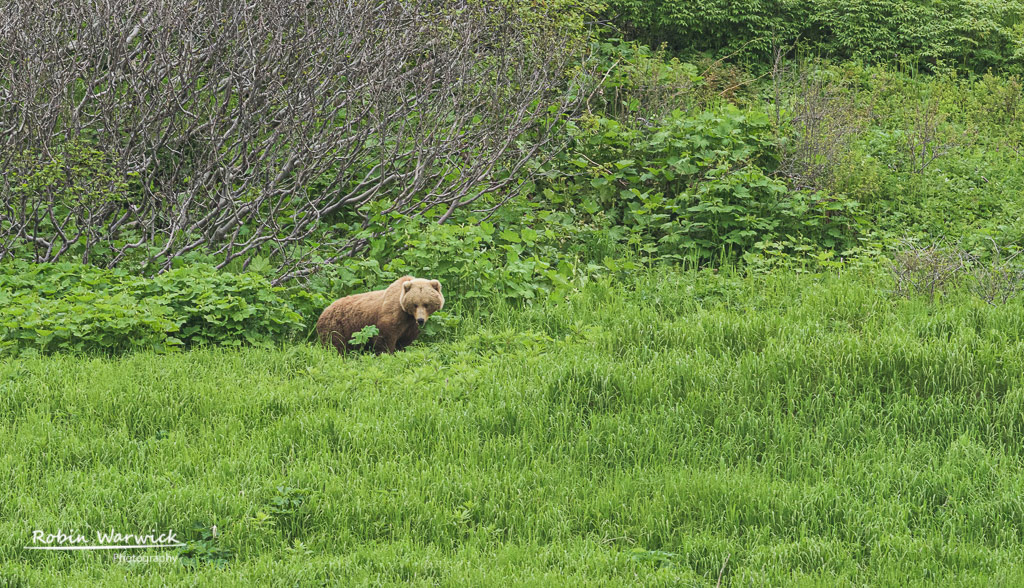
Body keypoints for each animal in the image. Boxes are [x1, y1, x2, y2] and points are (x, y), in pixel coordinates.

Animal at [315, 276, 444, 355]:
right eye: (415, 304)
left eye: (426, 304)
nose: (421, 320)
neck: (407, 315)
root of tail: (323, 312)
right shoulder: (391, 316)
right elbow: (385, 337)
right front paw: (387, 353)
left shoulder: (410, 324)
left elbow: (405, 340)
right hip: (337, 327)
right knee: (335, 346)